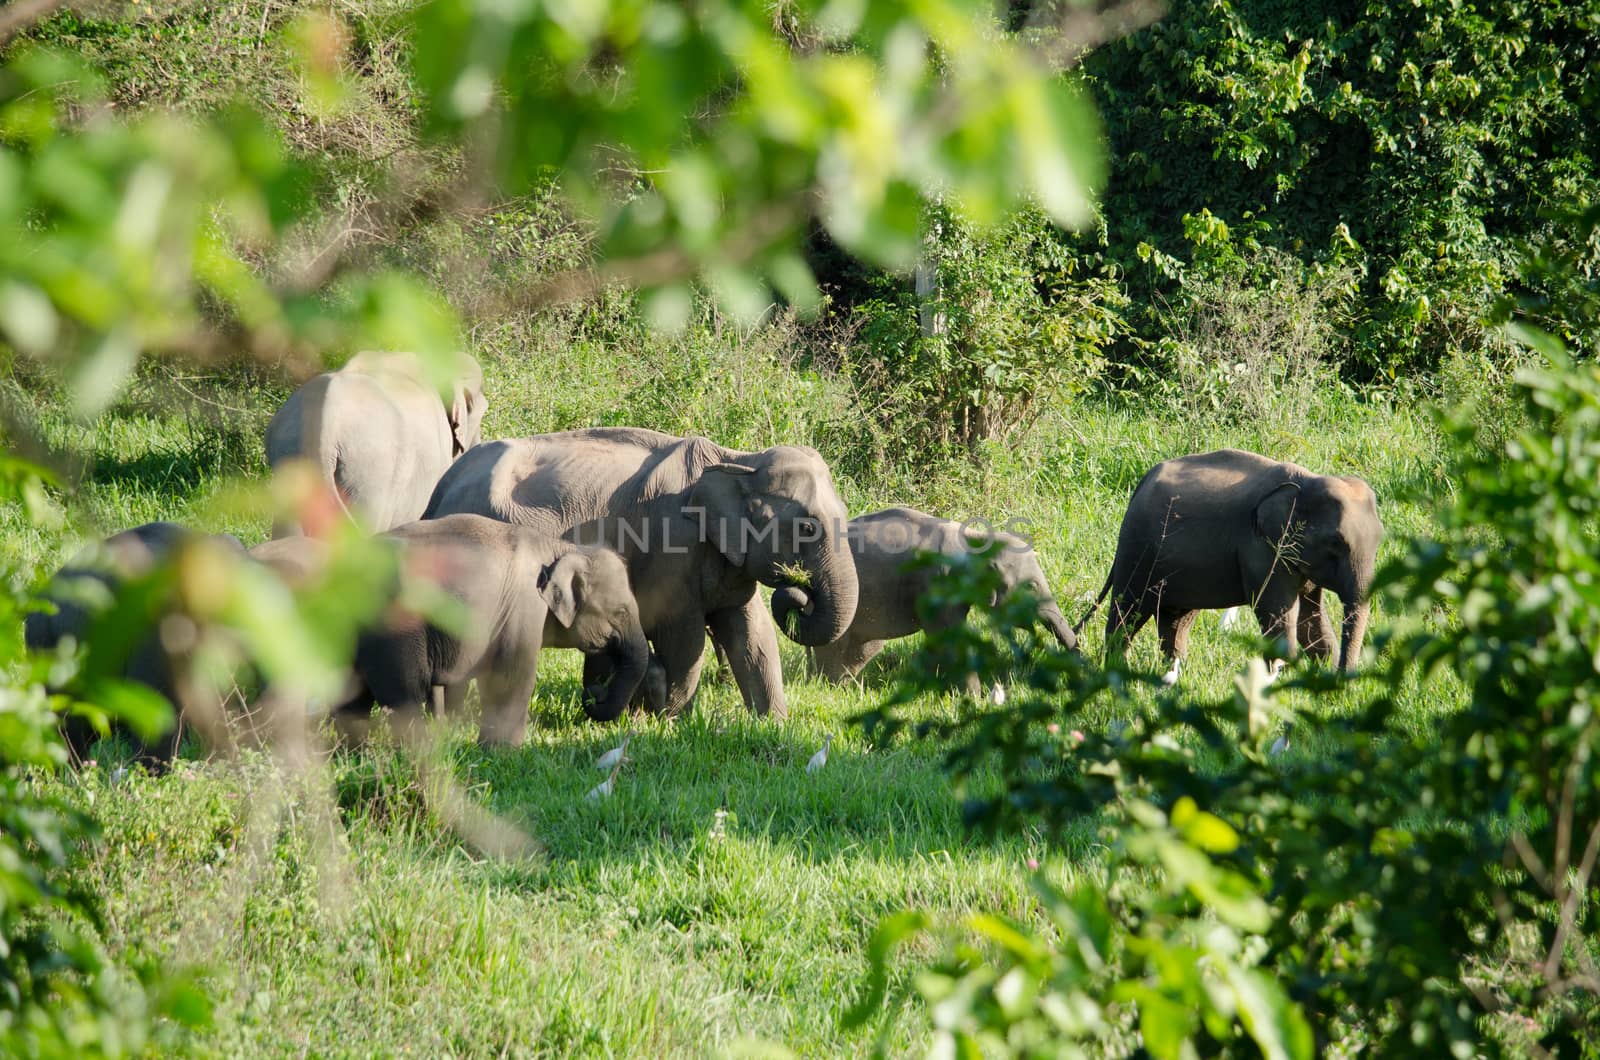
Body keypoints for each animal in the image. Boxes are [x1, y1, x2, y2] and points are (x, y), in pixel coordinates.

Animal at [331, 515, 649, 746]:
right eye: (621, 612)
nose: (595, 694)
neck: (562, 548)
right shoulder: (523, 606)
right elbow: (512, 675)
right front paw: (503, 751)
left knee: (351, 695)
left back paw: (357, 753)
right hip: (394, 626)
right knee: (404, 693)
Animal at [419, 432, 857, 723]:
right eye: (807, 528)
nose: (799, 591)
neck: (738, 460)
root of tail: (439, 490)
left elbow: (752, 633)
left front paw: (773, 725)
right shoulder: (672, 549)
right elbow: (683, 637)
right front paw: (665, 719)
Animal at [771, 509, 1081, 688]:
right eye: (1031, 587)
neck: (976, 538)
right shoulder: (938, 584)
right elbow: (950, 637)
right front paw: (975, 698)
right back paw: (833, 687)